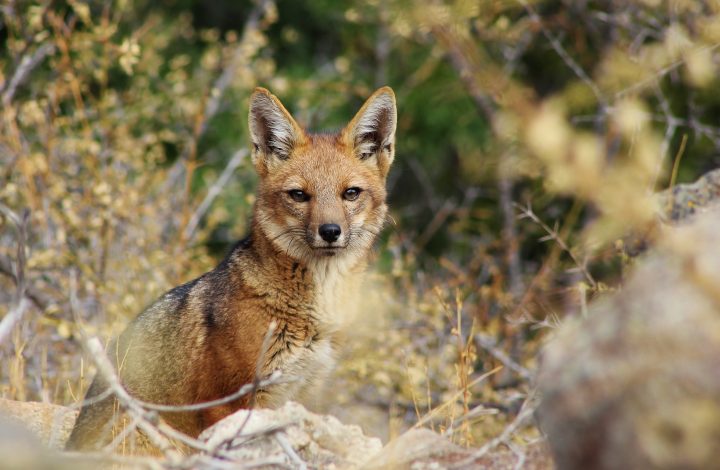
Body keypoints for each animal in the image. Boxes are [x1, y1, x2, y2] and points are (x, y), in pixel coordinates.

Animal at [64, 86, 396, 450]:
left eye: (350, 193)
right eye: (298, 195)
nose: (331, 231)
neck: (310, 315)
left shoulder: (302, 394)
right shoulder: (225, 401)